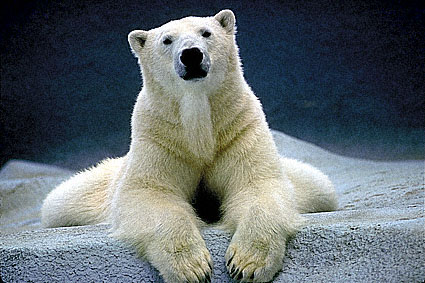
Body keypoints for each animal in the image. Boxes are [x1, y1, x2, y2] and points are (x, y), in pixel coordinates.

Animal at [41, 9, 336, 283]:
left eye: (206, 33)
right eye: (167, 40)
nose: (191, 55)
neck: (198, 127)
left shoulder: (239, 128)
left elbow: (257, 184)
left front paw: (246, 264)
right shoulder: (160, 137)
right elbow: (151, 193)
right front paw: (192, 268)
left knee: (320, 186)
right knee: (59, 203)